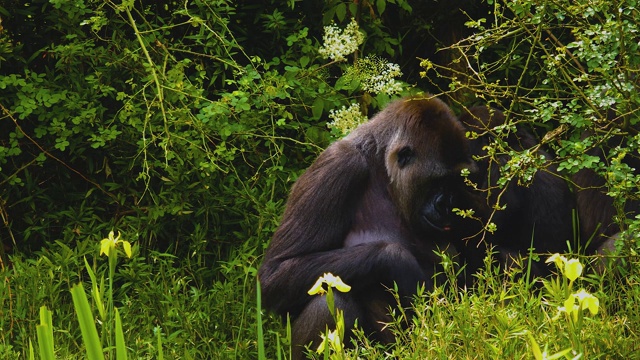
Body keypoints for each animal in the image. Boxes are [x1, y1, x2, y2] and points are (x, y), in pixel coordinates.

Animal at [258, 95, 478, 358]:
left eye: (454, 180)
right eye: (437, 181)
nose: (446, 205)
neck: (382, 168)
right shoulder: (338, 165)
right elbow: (275, 273)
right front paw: (400, 263)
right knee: (332, 298)